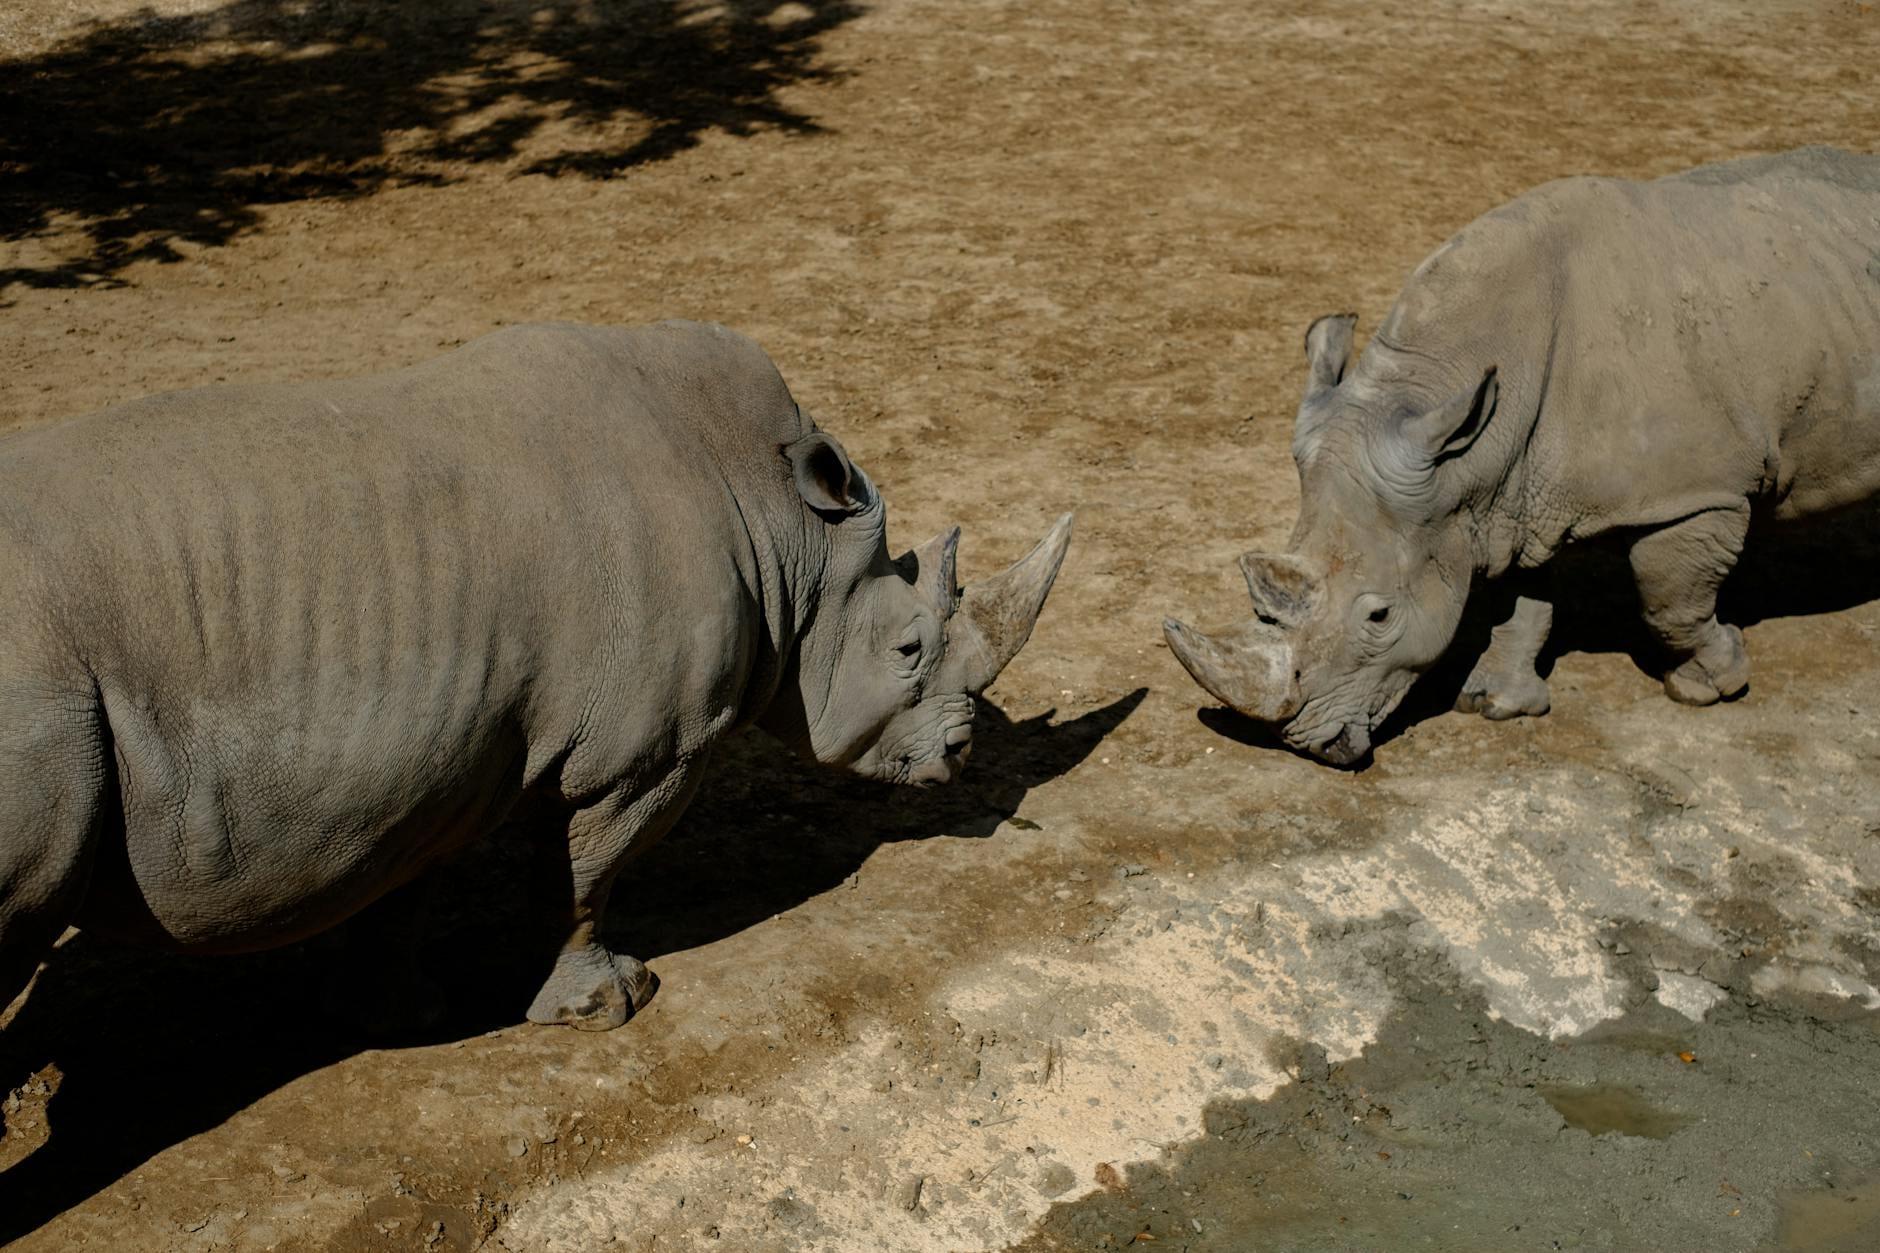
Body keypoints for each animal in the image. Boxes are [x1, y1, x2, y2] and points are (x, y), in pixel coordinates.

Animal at [0, 320, 1071, 1030]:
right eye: (909, 650)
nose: (959, 756)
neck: (786, 534)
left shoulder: (432, 740)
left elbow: (401, 879)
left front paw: (393, 1011)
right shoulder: (647, 753)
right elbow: (586, 876)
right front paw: (608, 1007)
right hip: (38, 697)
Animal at [1166, 146, 1880, 764]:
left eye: (1380, 615)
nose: (1305, 745)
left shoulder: (1695, 494)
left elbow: (1669, 602)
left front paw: (1710, 685)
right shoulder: (1501, 491)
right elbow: (1521, 599)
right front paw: (1495, 705)